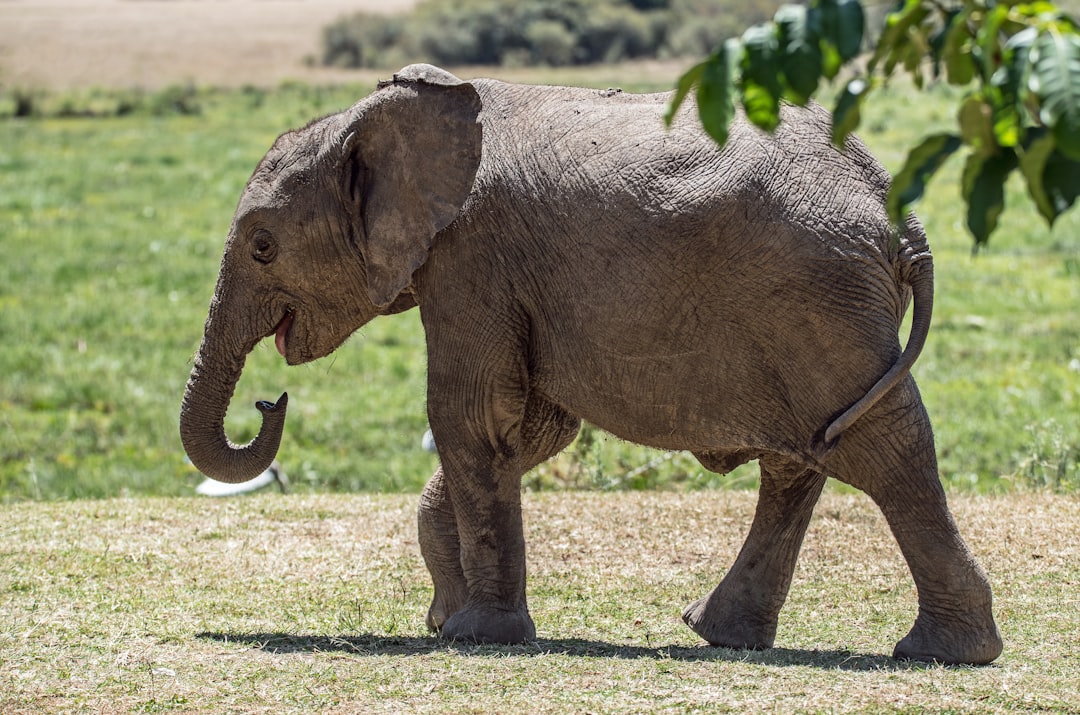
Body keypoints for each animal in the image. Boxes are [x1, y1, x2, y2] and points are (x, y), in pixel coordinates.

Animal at [179, 61, 1002, 665]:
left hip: (817, 300)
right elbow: (531, 427)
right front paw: (445, 617)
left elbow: (470, 413)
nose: (270, 403)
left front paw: (476, 633)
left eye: (262, 245)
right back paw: (722, 633)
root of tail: (897, 211)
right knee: (806, 453)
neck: (376, 118)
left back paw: (943, 651)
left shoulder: (472, 258)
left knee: (882, 448)